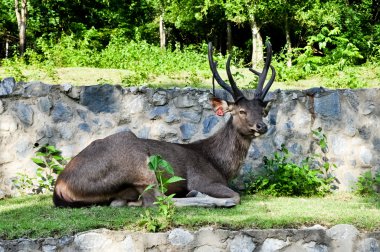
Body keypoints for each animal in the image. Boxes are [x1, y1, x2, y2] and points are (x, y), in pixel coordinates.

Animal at [52, 40, 274, 207]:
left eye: (263, 112)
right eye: (241, 111)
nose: (261, 126)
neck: (219, 165)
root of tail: (60, 187)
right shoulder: (202, 178)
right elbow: (236, 195)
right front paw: (199, 193)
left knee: (124, 202)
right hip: (138, 163)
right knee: (158, 200)